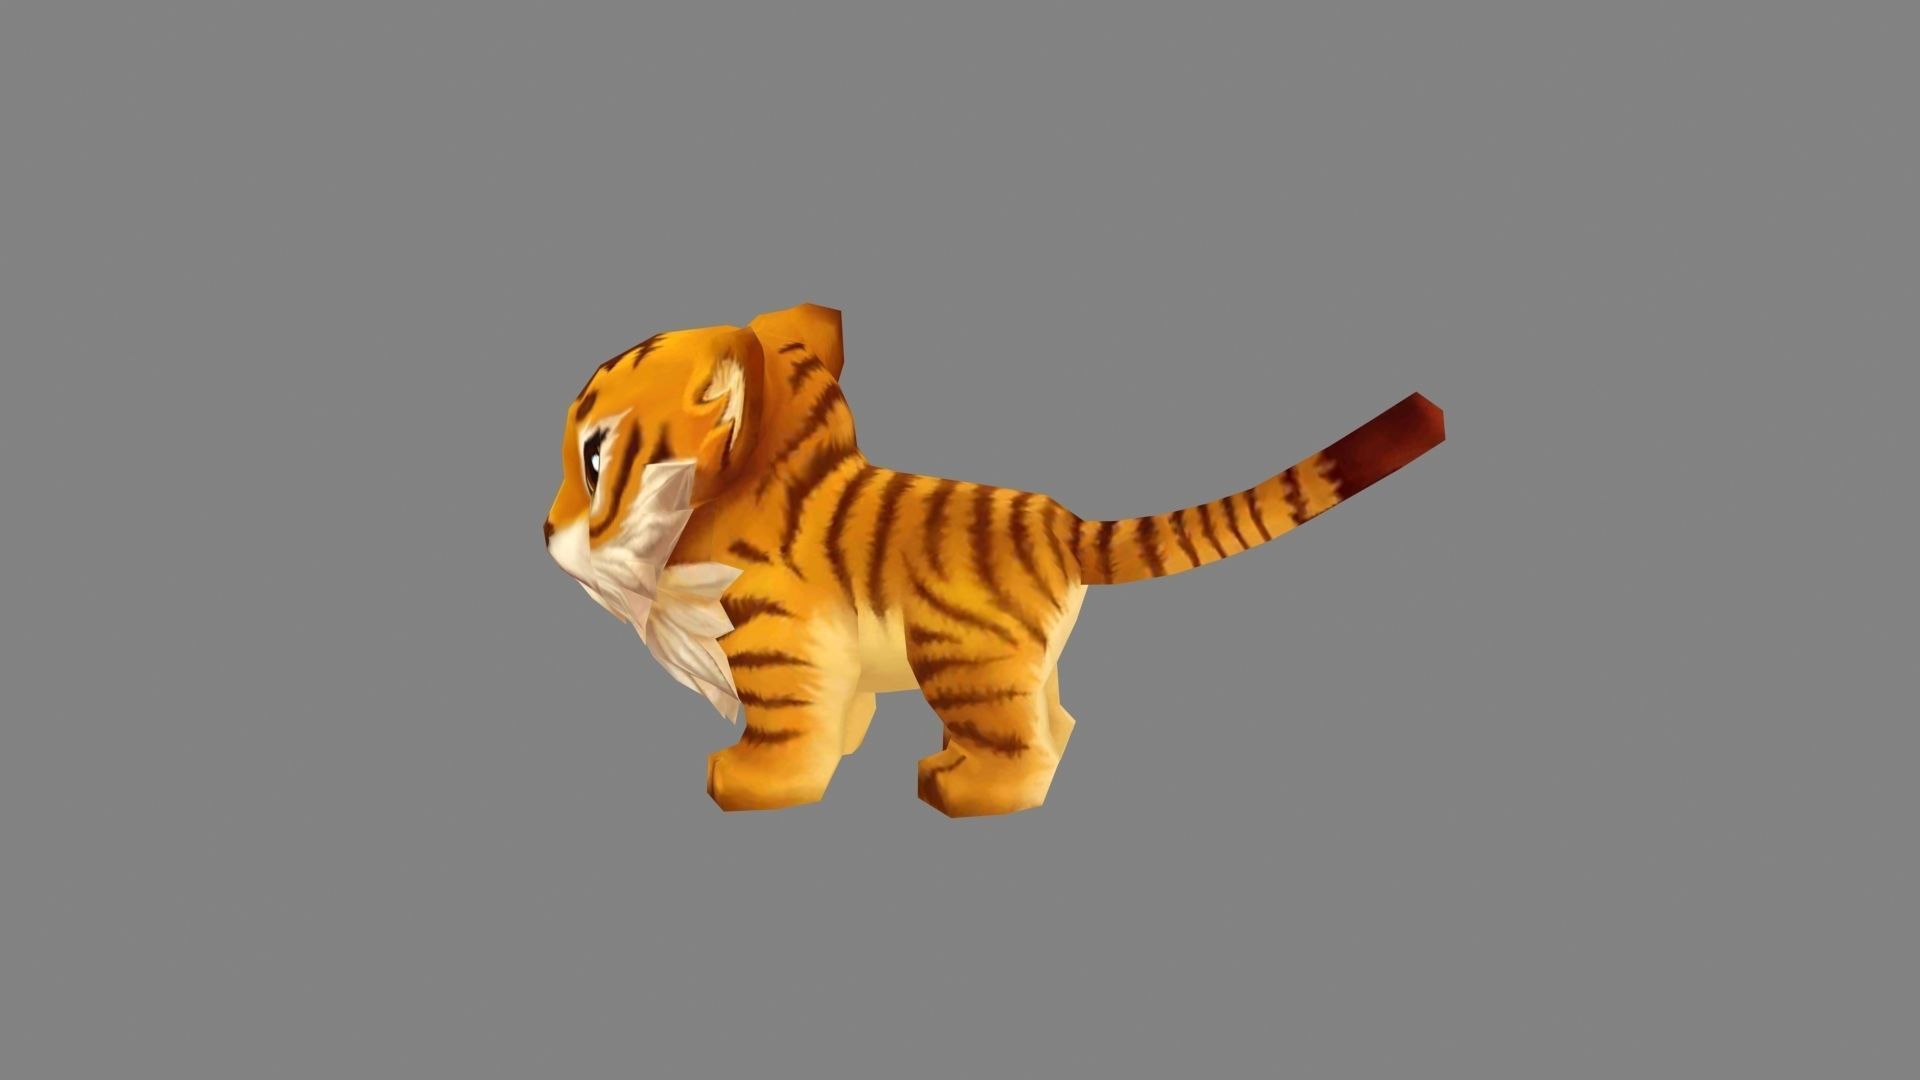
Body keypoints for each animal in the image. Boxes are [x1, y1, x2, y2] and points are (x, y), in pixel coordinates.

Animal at [544, 302, 1446, 817]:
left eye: (591, 458)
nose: (545, 532)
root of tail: (1062, 523)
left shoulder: (771, 644)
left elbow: (784, 730)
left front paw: (753, 783)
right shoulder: (830, 657)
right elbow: (840, 714)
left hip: (961, 660)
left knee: (1027, 749)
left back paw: (967, 791)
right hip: (1014, 663)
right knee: (1056, 723)